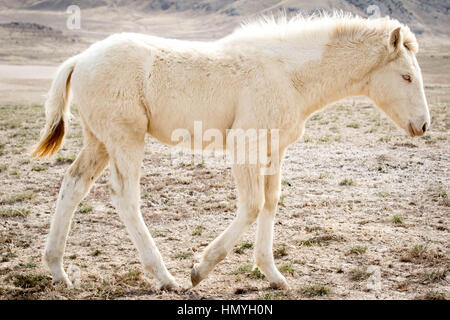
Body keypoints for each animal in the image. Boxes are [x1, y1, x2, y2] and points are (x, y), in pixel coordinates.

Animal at [33, 13, 430, 292]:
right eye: (406, 76)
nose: (424, 126)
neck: (288, 74)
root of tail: (80, 59)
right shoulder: (244, 145)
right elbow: (252, 205)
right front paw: (200, 269)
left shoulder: (274, 149)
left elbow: (270, 202)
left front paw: (273, 275)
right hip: (125, 138)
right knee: (125, 196)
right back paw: (165, 278)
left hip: (98, 141)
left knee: (73, 184)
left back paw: (58, 272)